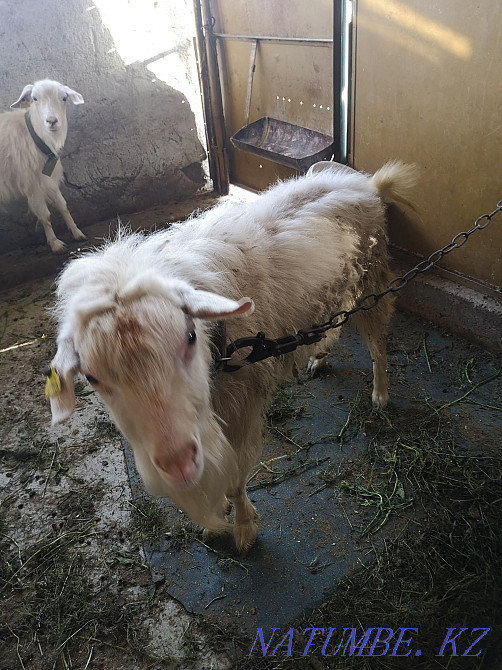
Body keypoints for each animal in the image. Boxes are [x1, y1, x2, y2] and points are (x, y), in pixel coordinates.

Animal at [0, 79, 85, 253]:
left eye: (64, 98)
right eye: (34, 98)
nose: (52, 121)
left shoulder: (48, 178)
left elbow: (63, 205)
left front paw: (77, 232)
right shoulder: (32, 183)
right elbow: (45, 215)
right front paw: (55, 244)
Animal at [47, 160, 417, 553]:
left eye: (190, 336)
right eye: (91, 377)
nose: (178, 464)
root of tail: (366, 183)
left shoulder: (241, 409)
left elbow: (237, 476)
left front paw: (243, 527)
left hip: (372, 280)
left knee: (377, 342)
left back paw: (380, 393)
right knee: (336, 320)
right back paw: (320, 357)